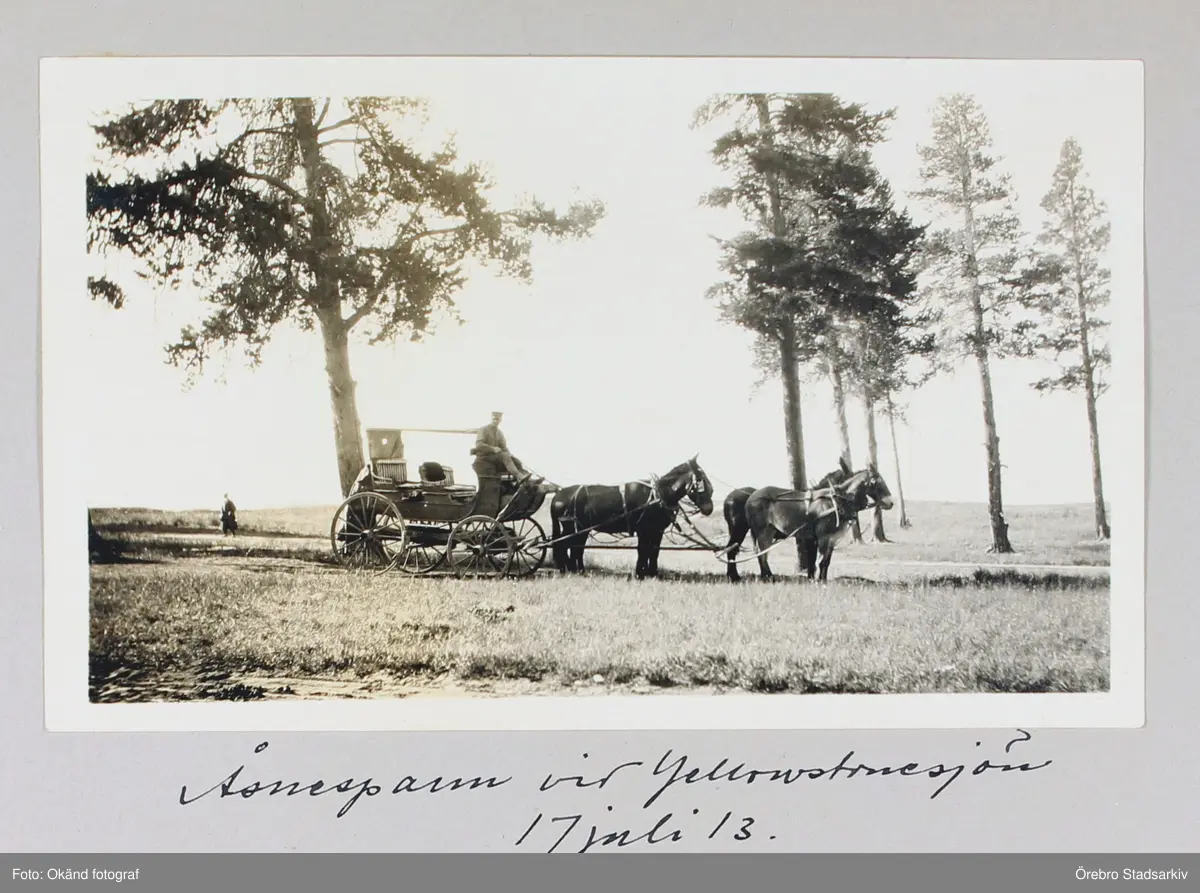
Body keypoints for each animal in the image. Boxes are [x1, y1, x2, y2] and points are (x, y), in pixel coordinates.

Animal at [549, 456, 714, 580]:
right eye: (701, 478)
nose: (709, 508)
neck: (658, 495)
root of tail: (557, 495)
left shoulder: (657, 531)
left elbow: (654, 551)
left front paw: (652, 573)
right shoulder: (644, 530)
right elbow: (643, 550)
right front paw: (640, 574)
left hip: (580, 529)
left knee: (574, 548)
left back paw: (576, 570)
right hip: (573, 528)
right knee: (564, 545)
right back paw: (569, 570)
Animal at [720, 457, 853, 583]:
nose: (850, 515)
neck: (824, 500)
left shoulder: (814, 538)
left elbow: (813, 559)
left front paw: (811, 578)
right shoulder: (817, 537)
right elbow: (815, 559)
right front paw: (815, 579)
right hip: (745, 530)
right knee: (738, 550)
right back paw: (741, 576)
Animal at [745, 462, 894, 583]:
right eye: (879, 483)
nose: (891, 503)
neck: (835, 501)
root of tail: (752, 497)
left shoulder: (832, 538)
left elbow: (826, 561)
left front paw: (823, 579)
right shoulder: (823, 537)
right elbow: (821, 561)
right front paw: (819, 581)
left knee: (762, 554)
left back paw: (766, 575)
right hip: (763, 532)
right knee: (762, 555)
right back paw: (768, 576)